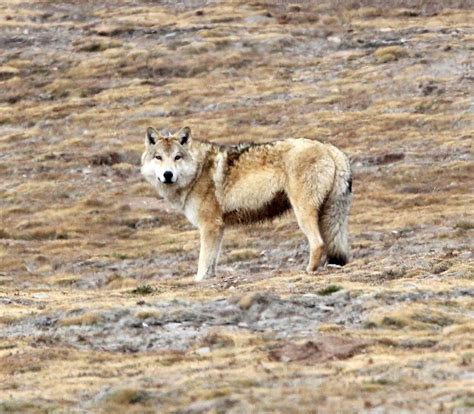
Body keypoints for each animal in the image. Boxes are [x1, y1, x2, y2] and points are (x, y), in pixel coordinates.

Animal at [141, 126, 352, 282]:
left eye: (177, 157)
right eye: (158, 157)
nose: (168, 174)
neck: (198, 172)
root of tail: (329, 148)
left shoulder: (210, 226)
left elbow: (203, 262)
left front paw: (199, 280)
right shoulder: (218, 229)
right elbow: (212, 262)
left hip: (303, 213)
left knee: (318, 243)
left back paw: (307, 271)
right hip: (329, 216)